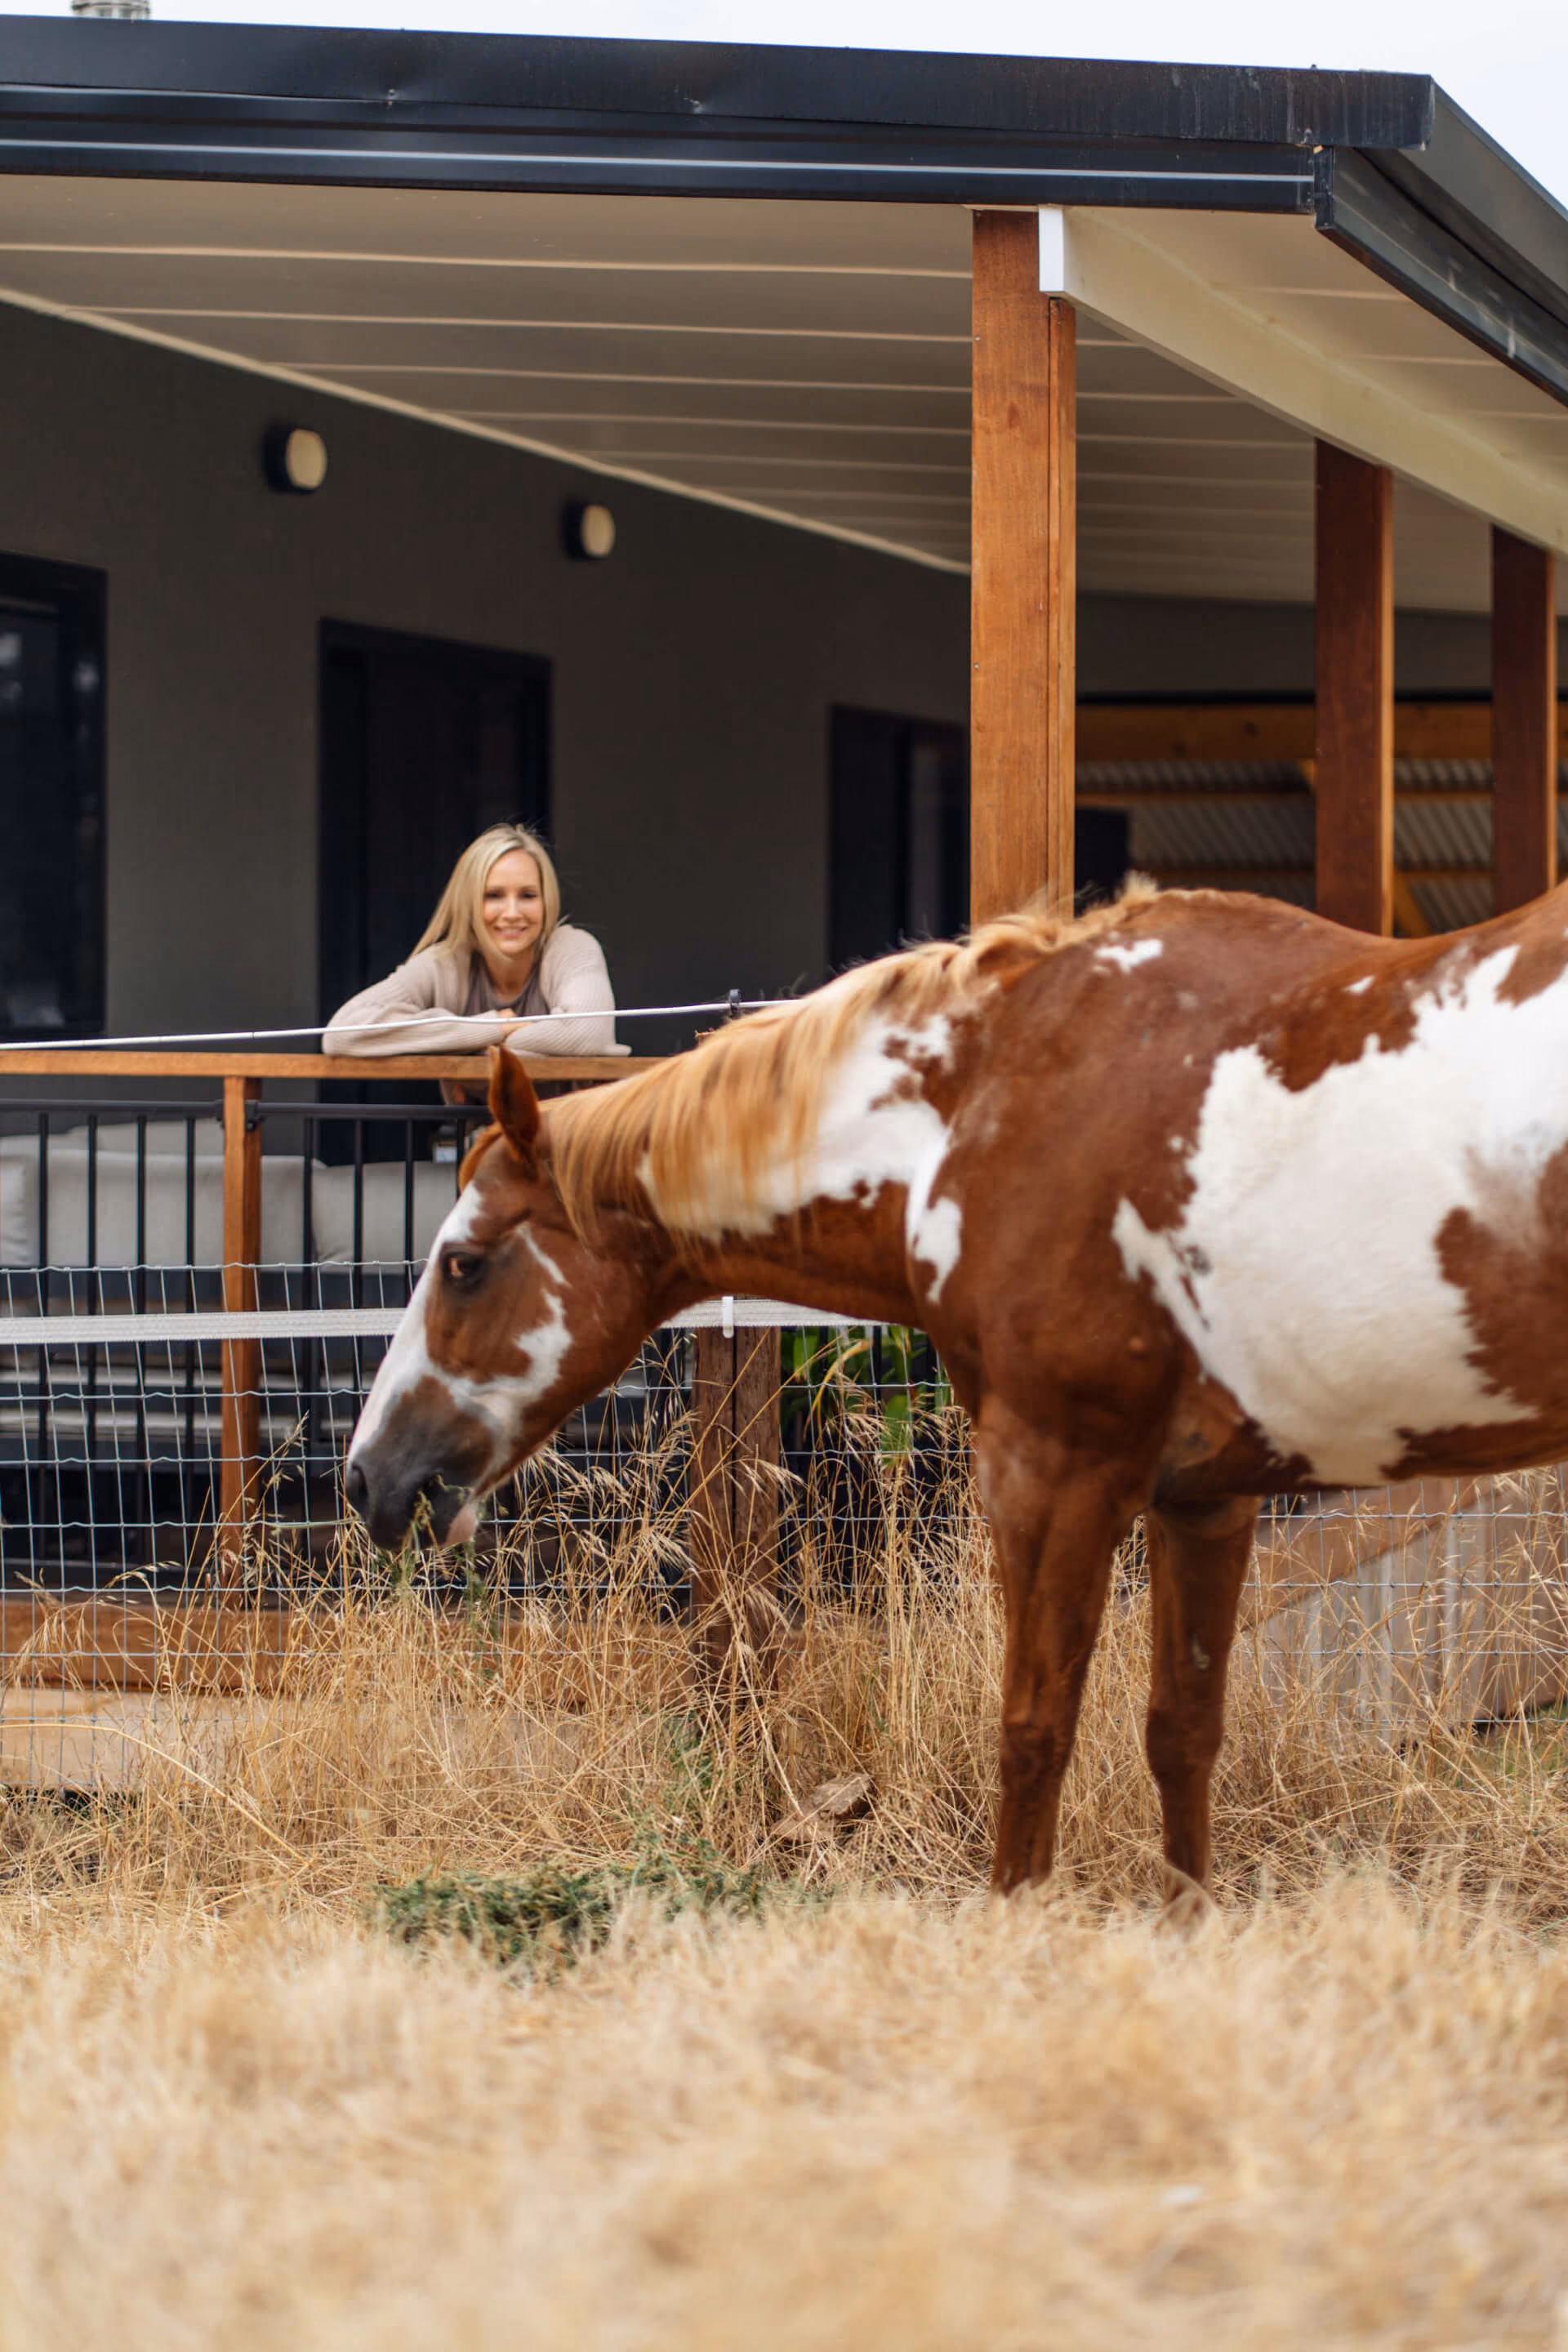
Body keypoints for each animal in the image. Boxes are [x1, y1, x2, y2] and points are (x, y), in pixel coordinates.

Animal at [345, 877, 1568, 1898]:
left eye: (463, 1263)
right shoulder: (1204, 1502)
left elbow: (1033, 1732)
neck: (998, 1100)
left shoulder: (1054, 1474)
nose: (368, 1477)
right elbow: (1182, 1737)